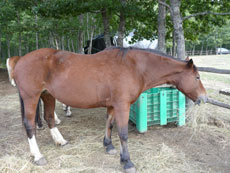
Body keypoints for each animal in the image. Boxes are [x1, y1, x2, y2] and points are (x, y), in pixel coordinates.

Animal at [10, 47, 207, 173]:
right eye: (197, 77)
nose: (204, 98)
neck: (134, 67)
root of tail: (20, 59)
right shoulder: (122, 106)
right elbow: (123, 133)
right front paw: (127, 162)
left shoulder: (113, 105)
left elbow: (109, 125)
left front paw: (109, 146)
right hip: (31, 97)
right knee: (29, 125)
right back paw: (38, 156)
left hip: (48, 95)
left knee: (50, 118)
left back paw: (61, 141)